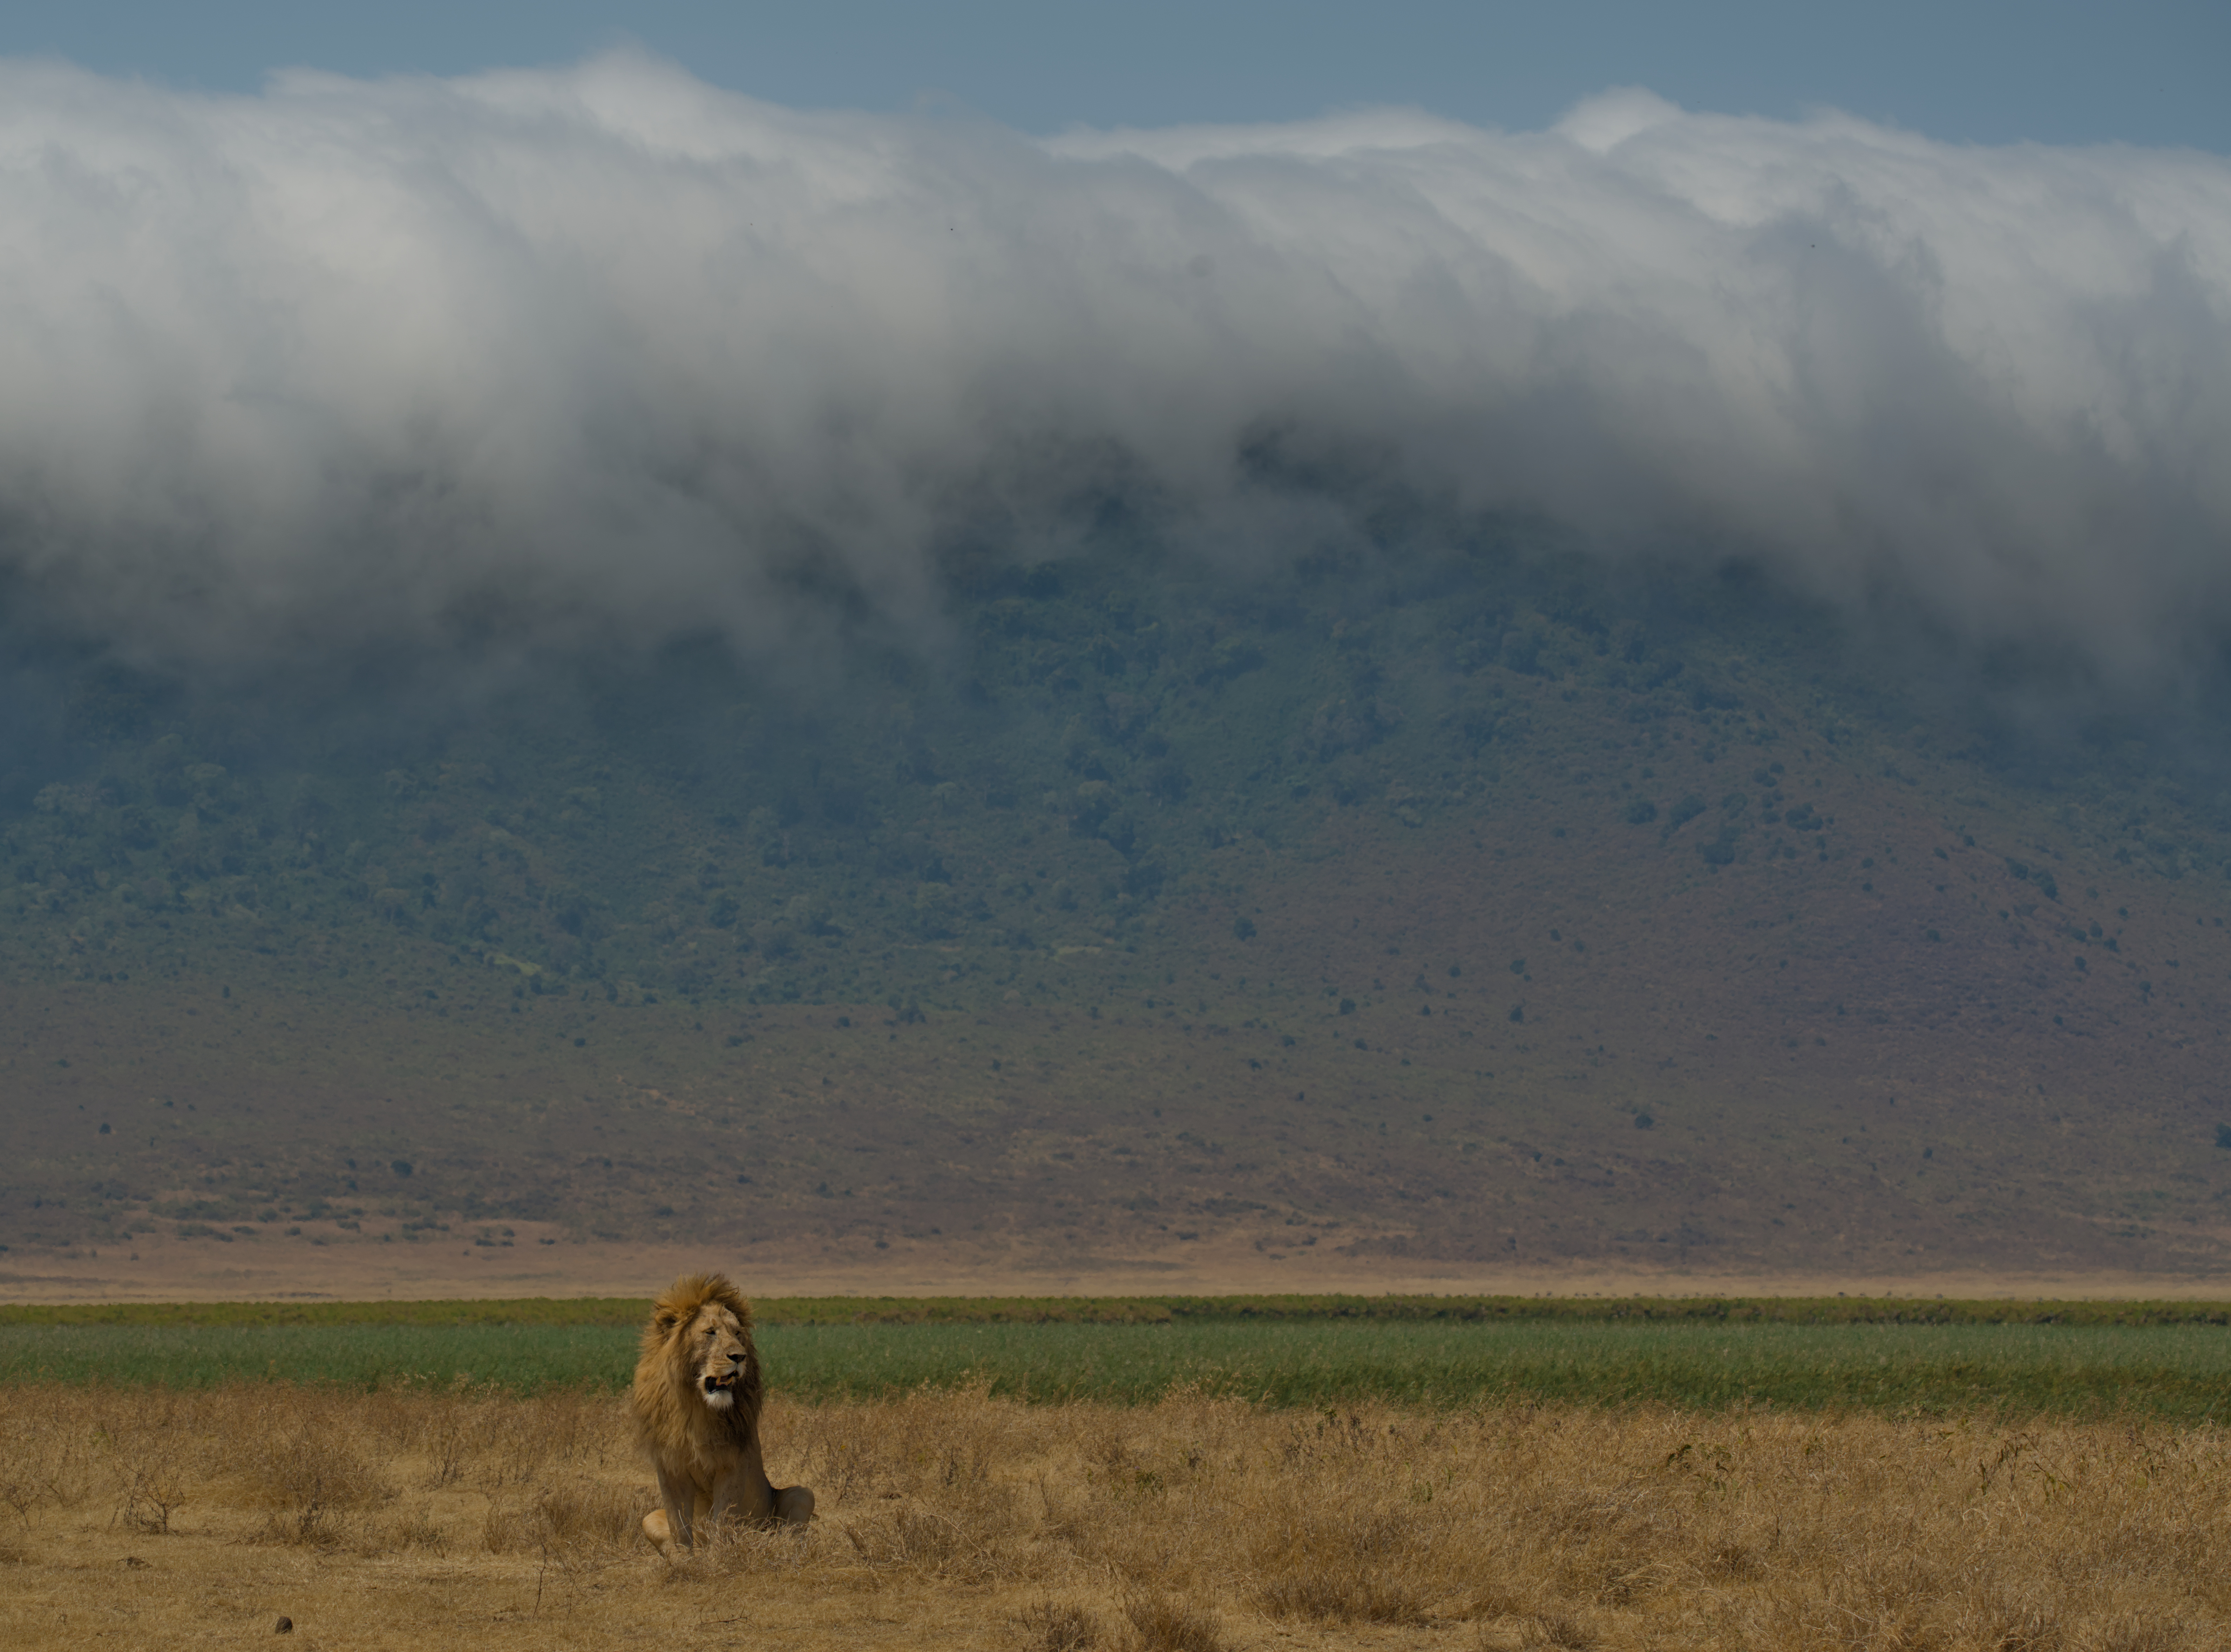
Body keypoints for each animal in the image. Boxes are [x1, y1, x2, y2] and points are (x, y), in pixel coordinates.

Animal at [631, 1272, 813, 1552]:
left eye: (737, 1333)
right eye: (710, 1332)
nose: (740, 1356)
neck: (696, 1407)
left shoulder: (733, 1465)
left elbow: (724, 1521)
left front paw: (721, 1556)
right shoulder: (670, 1469)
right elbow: (679, 1528)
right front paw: (686, 1560)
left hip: (802, 1493)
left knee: (790, 1533)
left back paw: (765, 1541)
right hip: (649, 1517)